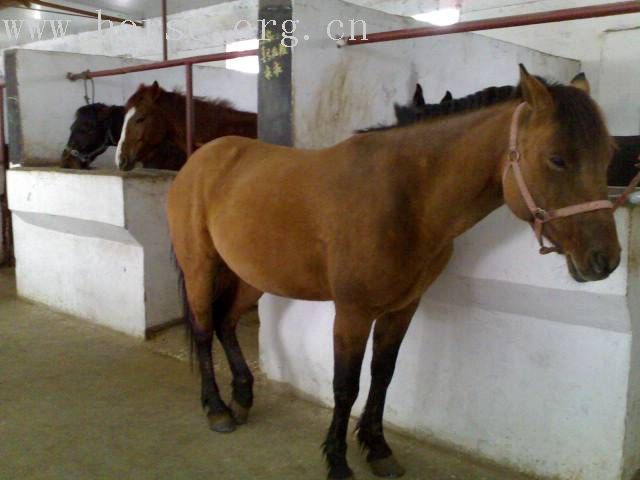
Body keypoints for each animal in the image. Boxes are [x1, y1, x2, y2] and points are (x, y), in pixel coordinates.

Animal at [168, 64, 624, 480]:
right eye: (557, 159)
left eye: (607, 157)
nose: (606, 260)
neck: (407, 197)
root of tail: (201, 158)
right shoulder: (352, 313)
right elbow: (345, 386)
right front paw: (338, 462)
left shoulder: (403, 308)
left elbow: (382, 376)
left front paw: (378, 449)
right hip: (201, 267)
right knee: (204, 329)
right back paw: (217, 409)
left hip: (249, 275)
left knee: (226, 324)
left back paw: (243, 397)